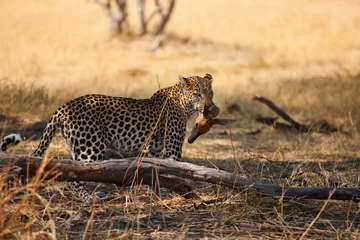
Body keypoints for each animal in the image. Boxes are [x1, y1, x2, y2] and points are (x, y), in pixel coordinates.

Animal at [33, 74, 218, 162]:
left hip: (76, 145)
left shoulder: (155, 149)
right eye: (197, 94)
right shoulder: (173, 149)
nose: (211, 108)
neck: (183, 104)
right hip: (90, 147)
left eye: (210, 93)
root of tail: (65, 106)